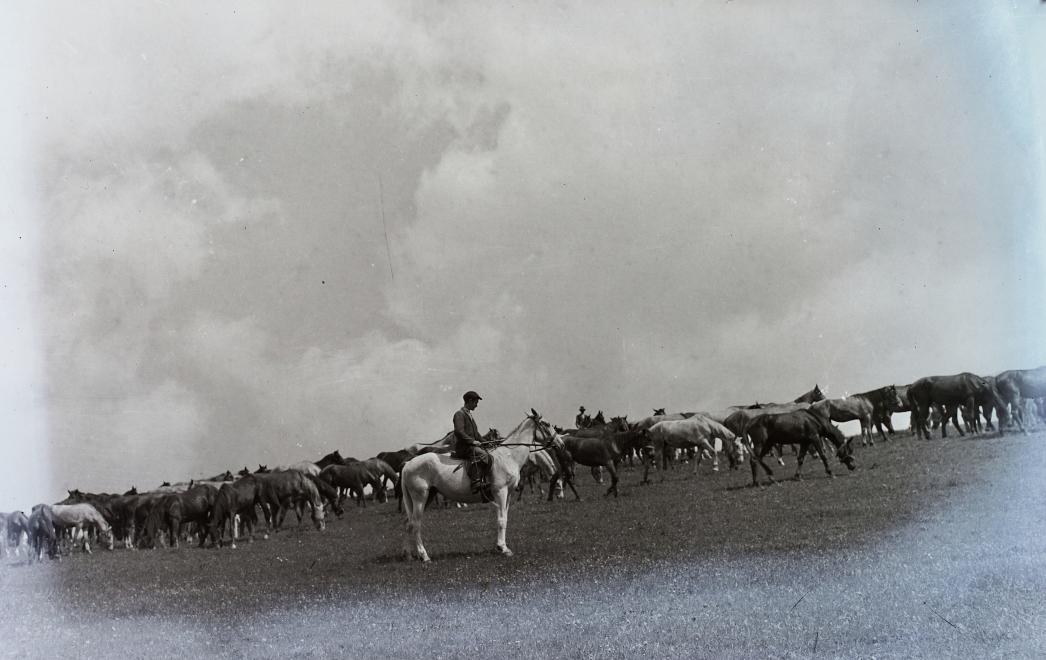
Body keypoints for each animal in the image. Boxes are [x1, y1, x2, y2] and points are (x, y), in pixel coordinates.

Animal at [401, 410, 560, 560]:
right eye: (546, 424)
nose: (560, 444)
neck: (508, 456)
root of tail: (408, 464)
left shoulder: (508, 494)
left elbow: (505, 518)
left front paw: (502, 546)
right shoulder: (500, 492)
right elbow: (501, 520)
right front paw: (503, 548)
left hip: (428, 496)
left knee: (408, 523)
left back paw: (409, 555)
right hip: (420, 498)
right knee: (416, 524)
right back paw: (424, 556)